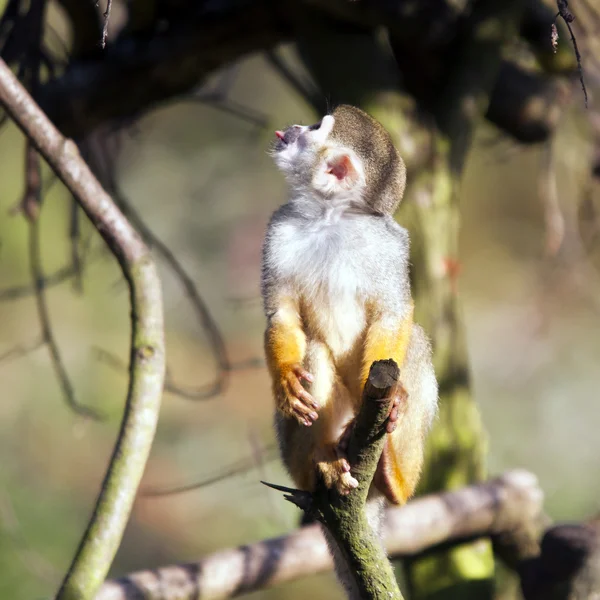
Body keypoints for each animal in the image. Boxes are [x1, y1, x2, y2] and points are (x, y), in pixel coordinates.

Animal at [260, 105, 438, 512]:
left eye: (314, 128)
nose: (293, 128)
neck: (332, 217)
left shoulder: (390, 244)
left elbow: (393, 312)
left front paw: (396, 397)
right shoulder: (279, 228)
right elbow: (281, 313)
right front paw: (285, 376)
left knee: (416, 342)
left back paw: (393, 477)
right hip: (295, 454)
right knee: (313, 349)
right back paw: (326, 459)